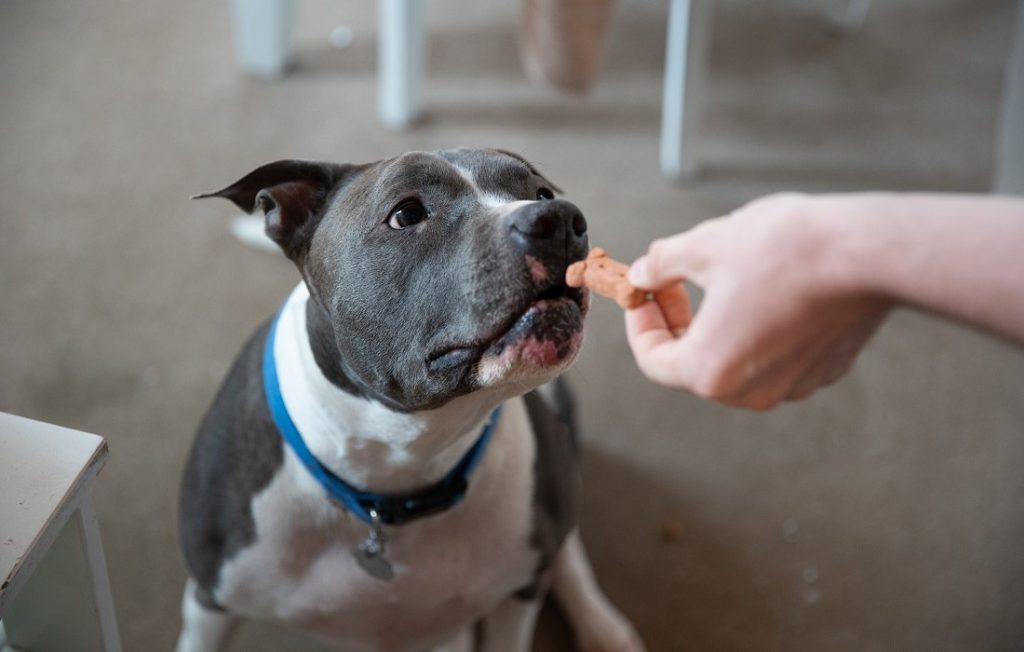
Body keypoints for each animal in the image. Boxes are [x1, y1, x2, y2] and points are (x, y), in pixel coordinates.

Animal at [174, 148, 638, 650]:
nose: (561, 219)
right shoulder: (209, 602)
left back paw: (604, 628)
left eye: (542, 193)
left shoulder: (519, 593)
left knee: (569, 552)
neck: (401, 460)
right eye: (407, 214)